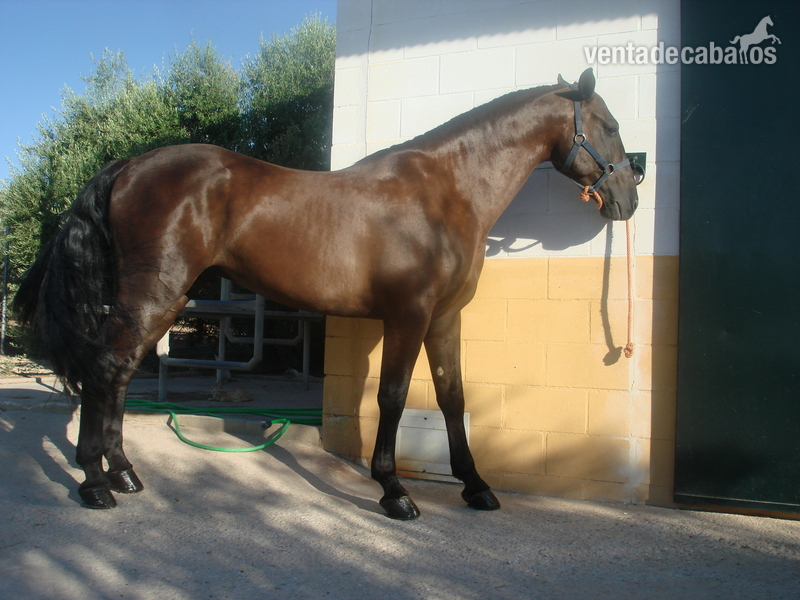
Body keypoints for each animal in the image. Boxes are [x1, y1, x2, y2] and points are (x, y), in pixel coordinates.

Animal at [15, 67, 638, 520]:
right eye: (607, 124)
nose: (628, 199)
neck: (446, 190)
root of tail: (130, 165)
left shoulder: (444, 318)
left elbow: (452, 397)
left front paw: (475, 486)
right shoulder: (408, 316)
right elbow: (392, 397)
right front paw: (393, 491)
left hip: (167, 301)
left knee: (119, 374)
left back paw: (123, 473)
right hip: (151, 294)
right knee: (105, 369)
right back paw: (94, 483)